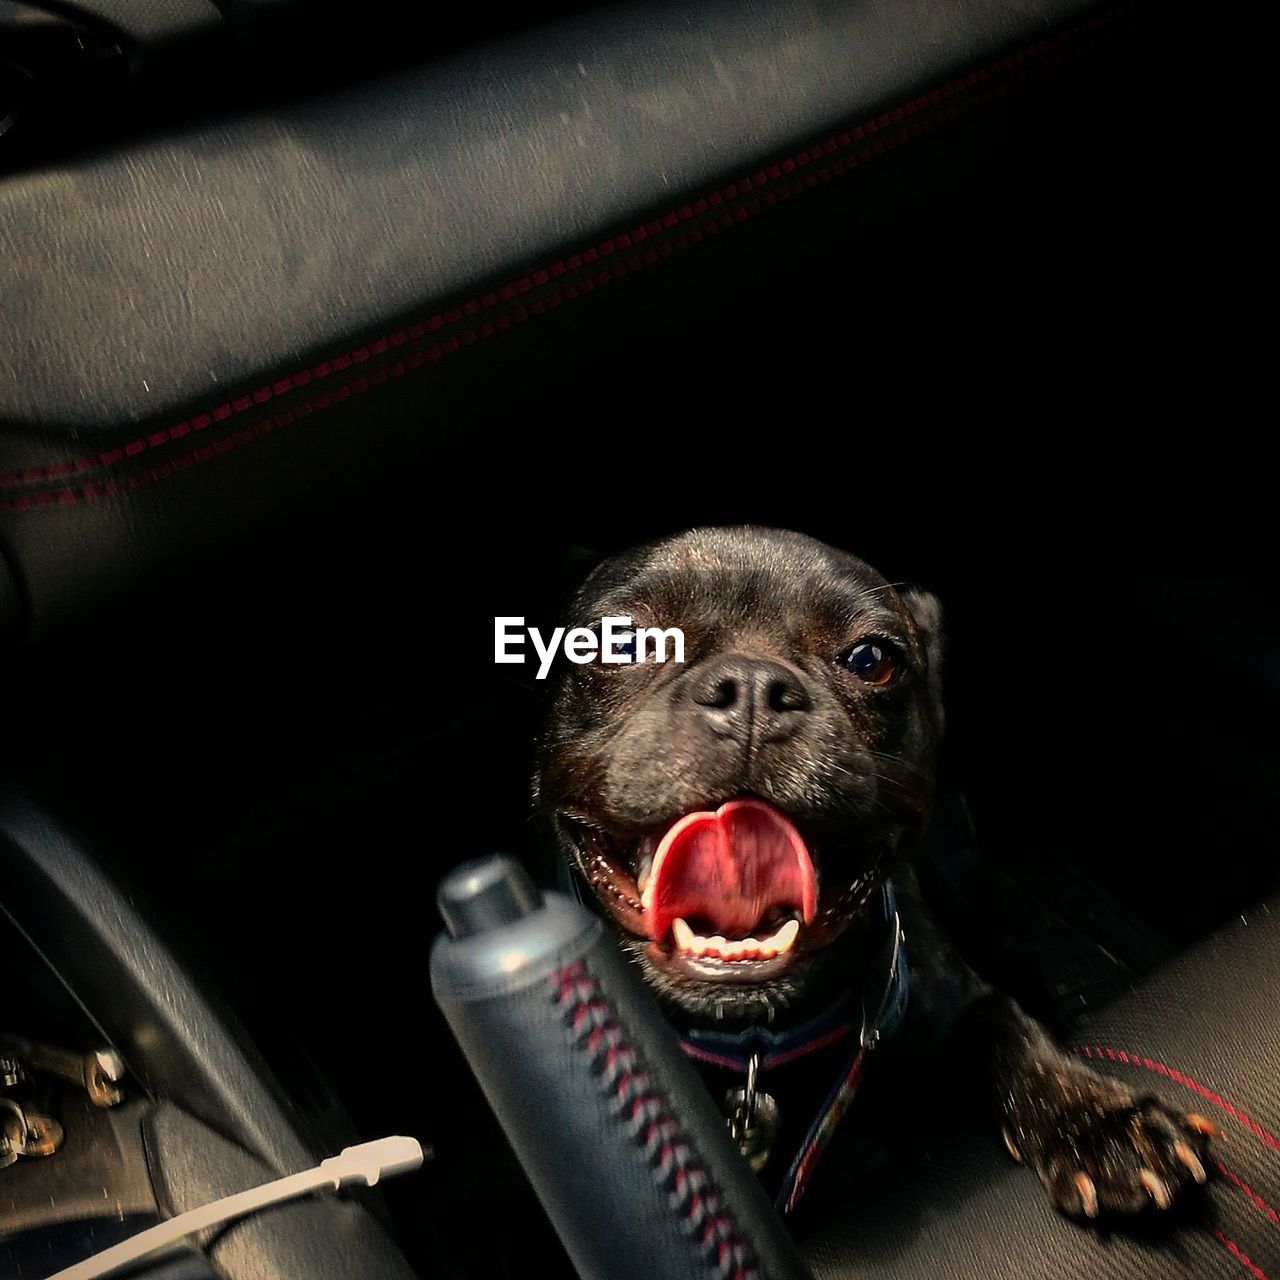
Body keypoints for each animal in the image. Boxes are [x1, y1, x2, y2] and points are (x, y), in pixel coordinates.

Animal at [535, 527, 1213, 1218]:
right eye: (620, 641)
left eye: (871, 659)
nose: (751, 687)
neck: (755, 1041)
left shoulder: (951, 991)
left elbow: (1007, 1024)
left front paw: (1098, 1120)